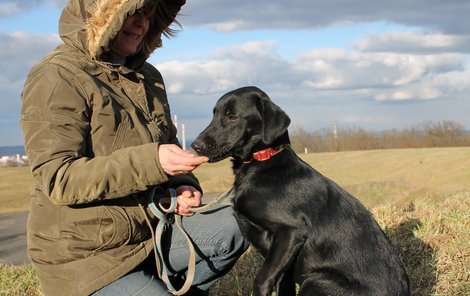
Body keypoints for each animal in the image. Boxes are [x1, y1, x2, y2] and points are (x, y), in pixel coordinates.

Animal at [193, 86, 410, 296]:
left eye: (232, 116)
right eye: (214, 114)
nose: (195, 146)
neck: (264, 162)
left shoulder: (291, 231)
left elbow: (262, 279)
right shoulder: (284, 266)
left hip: (315, 281)